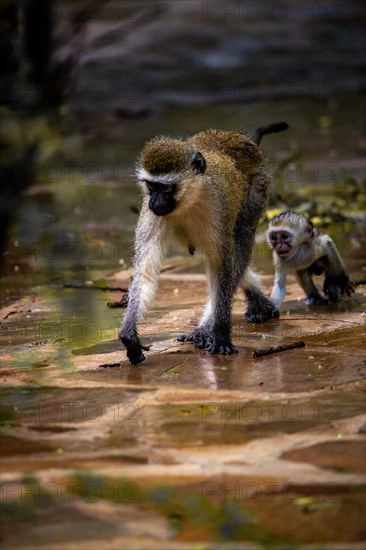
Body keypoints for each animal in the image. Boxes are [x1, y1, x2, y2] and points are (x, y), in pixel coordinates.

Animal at [120, 122, 288, 364]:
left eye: (166, 188)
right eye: (152, 186)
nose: (155, 201)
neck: (189, 199)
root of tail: (236, 136)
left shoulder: (219, 207)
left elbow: (223, 266)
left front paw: (219, 333)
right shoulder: (151, 215)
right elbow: (145, 269)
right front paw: (129, 335)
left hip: (258, 185)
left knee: (240, 243)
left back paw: (208, 326)